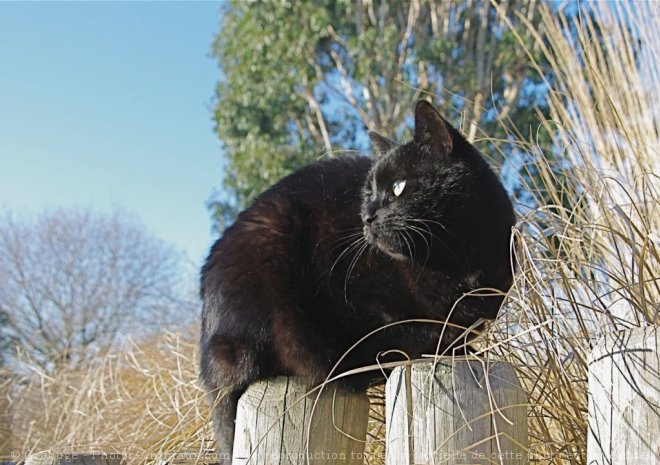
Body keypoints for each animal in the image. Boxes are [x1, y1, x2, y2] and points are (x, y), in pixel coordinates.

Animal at [199, 99, 520, 458]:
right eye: (368, 192)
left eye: (397, 188)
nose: (366, 216)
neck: (454, 262)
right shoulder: (356, 292)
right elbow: (404, 329)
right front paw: (439, 344)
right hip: (272, 253)